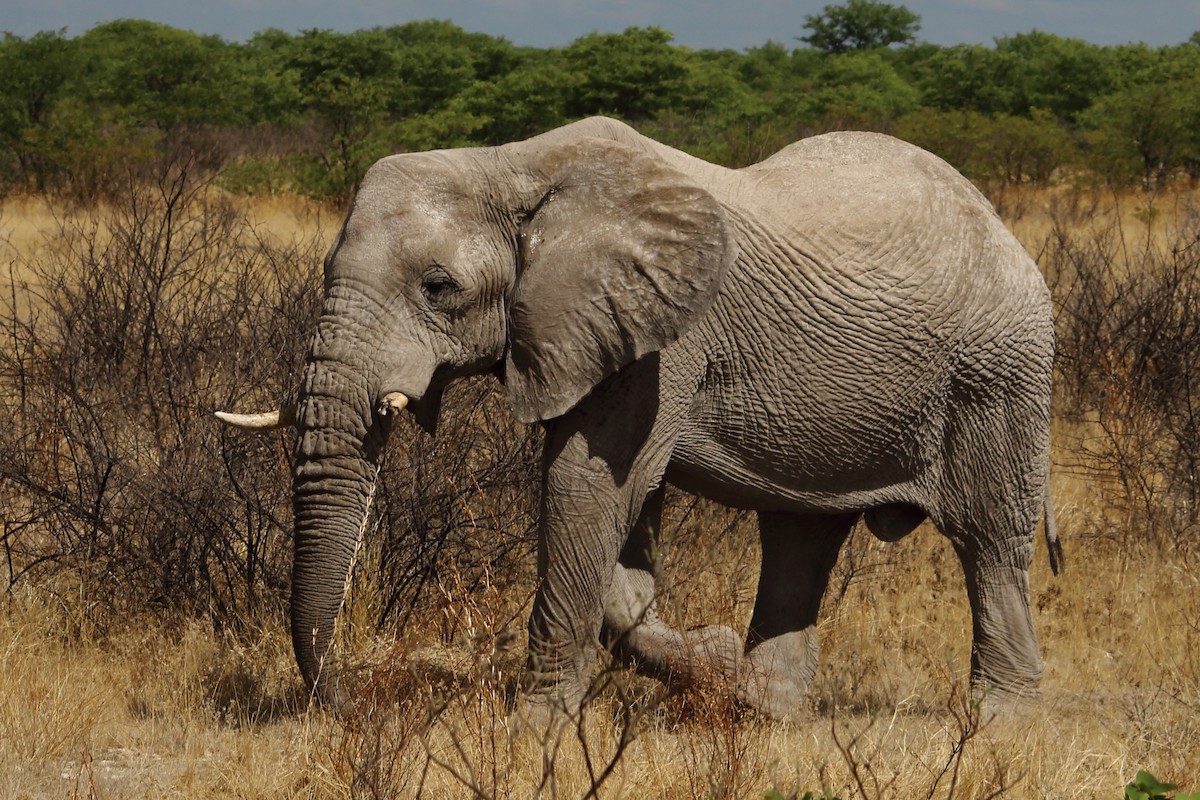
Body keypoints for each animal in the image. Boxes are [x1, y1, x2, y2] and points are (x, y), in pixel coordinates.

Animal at [217, 116, 1062, 720]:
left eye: (437, 286)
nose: (346, 703)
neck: (510, 163)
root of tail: (1004, 230)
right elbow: (621, 530)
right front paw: (711, 661)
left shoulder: (663, 336)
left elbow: (589, 486)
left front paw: (535, 730)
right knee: (801, 537)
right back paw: (767, 708)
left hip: (1001, 374)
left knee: (989, 541)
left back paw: (998, 722)